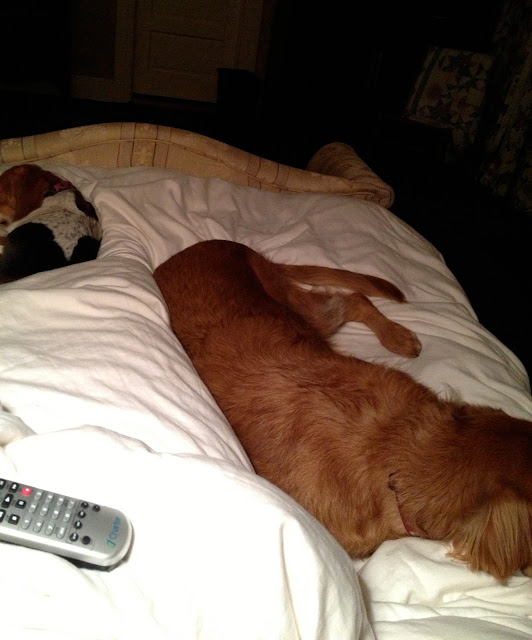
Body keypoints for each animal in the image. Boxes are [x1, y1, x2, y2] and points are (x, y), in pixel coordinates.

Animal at [154, 239, 532, 582]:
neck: (399, 448)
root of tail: (219, 244)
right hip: (306, 312)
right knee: (353, 300)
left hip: (306, 313)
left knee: (355, 300)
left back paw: (397, 335)